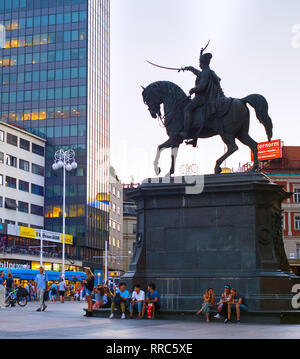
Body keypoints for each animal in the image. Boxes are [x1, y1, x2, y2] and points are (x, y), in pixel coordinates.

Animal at [142, 81, 274, 177]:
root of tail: (241, 100)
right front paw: (161, 170)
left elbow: (167, 152)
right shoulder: (175, 139)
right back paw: (253, 169)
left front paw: (164, 172)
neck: (177, 108)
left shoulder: (175, 138)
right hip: (240, 133)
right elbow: (161, 148)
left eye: (148, 98)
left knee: (233, 147)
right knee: (253, 145)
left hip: (226, 133)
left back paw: (217, 166)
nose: (153, 113)